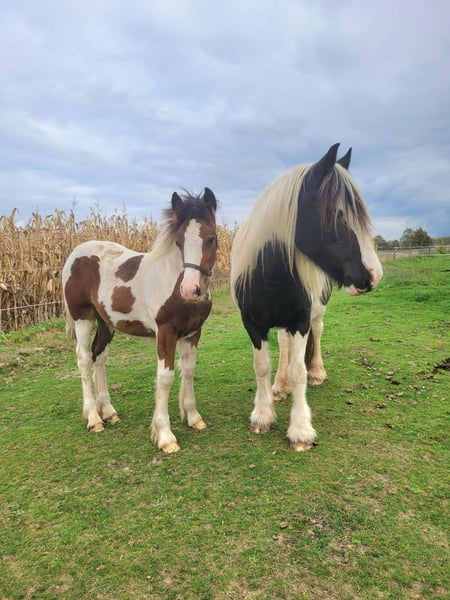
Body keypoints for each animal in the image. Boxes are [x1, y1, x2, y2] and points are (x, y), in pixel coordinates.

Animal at [62, 188, 218, 453]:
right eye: (178, 242)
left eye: (211, 238)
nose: (191, 290)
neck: (172, 279)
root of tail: (74, 254)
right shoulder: (165, 333)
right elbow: (165, 378)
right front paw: (165, 436)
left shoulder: (193, 333)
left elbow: (188, 370)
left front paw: (193, 417)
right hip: (82, 316)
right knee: (83, 360)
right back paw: (93, 419)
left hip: (106, 322)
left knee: (99, 356)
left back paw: (108, 412)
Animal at [230, 144, 383, 451]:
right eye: (338, 214)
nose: (374, 274)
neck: (269, 276)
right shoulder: (253, 325)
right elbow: (262, 367)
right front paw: (262, 415)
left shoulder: (300, 322)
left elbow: (298, 371)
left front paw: (300, 430)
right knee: (283, 345)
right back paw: (279, 386)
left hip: (317, 313)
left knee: (318, 333)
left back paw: (317, 372)